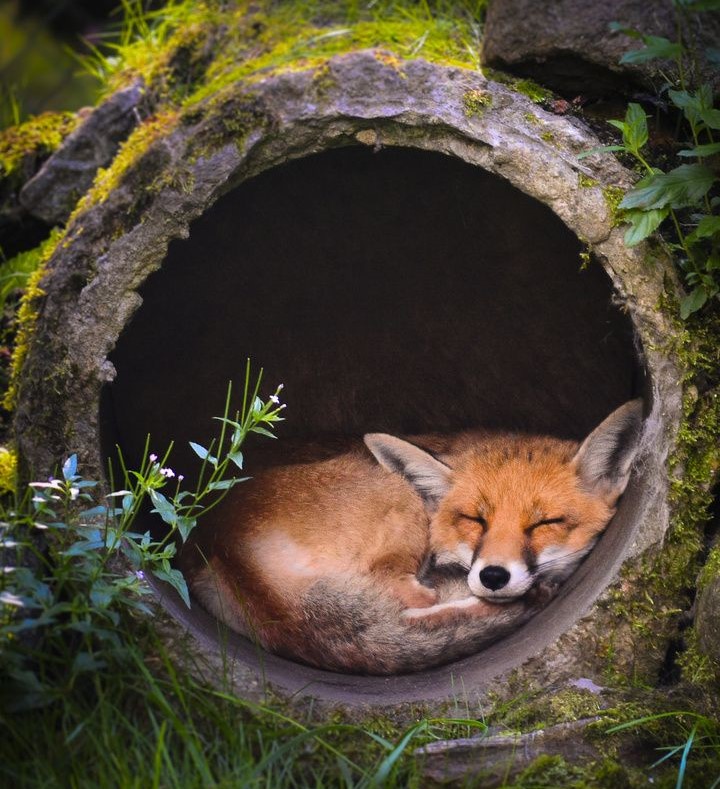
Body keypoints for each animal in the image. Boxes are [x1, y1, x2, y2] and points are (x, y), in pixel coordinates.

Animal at [179, 399, 643, 675]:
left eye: (544, 523)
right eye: (474, 519)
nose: (493, 576)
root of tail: (222, 537)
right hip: (400, 496)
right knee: (412, 599)